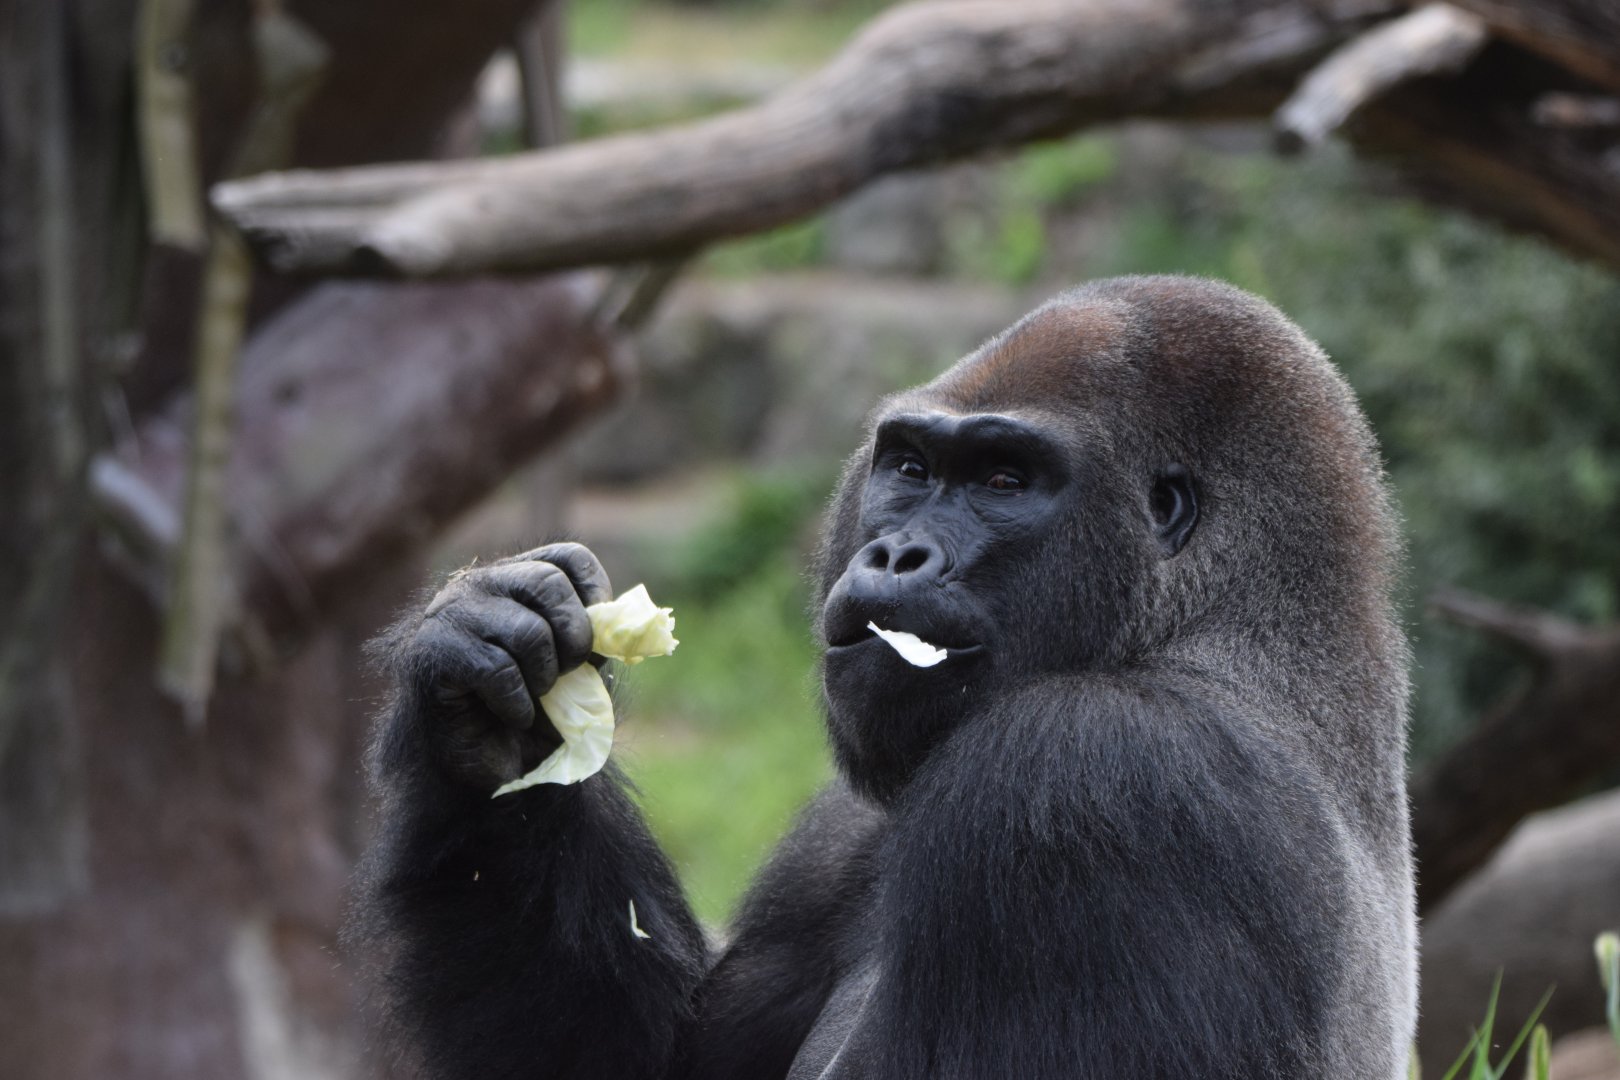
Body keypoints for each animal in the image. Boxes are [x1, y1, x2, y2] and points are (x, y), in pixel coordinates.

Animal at [351, 275, 1416, 1079]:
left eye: (1003, 481)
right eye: (908, 466)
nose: (897, 556)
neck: (1213, 629)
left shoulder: (1100, 779)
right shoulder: (838, 834)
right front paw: (487, 713)